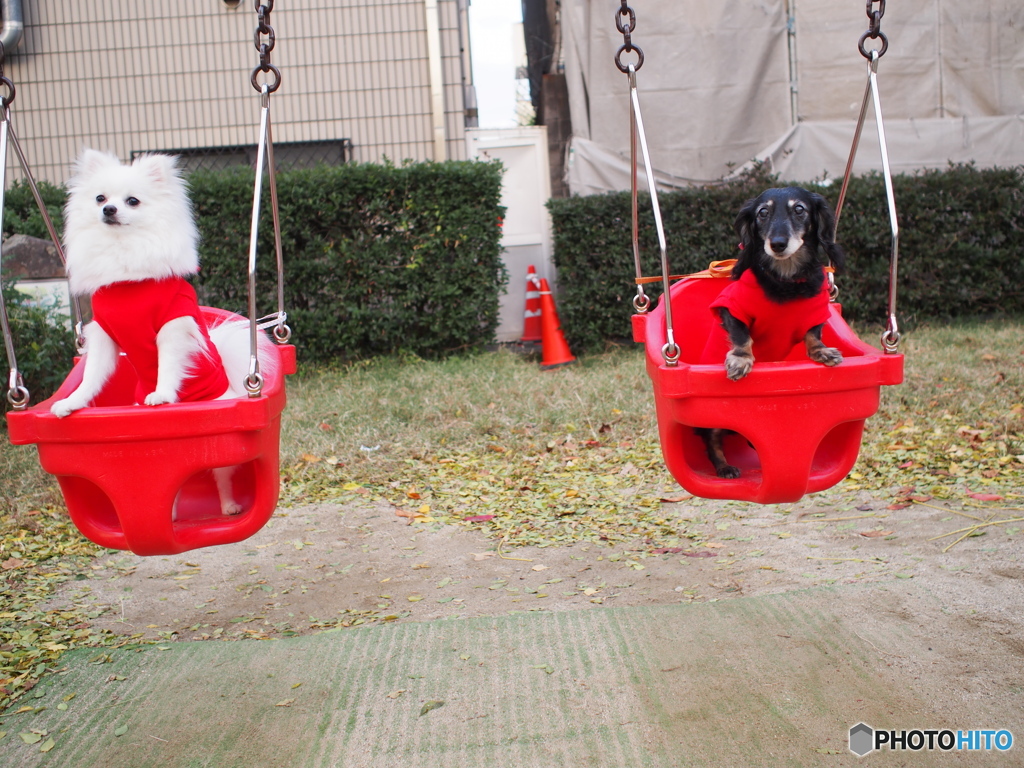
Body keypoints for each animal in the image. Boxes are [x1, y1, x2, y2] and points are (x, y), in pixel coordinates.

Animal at [50, 147, 276, 514]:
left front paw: (163, 394)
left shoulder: (172, 327)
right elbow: (91, 376)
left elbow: (168, 365)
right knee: (175, 482)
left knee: (219, 474)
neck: (124, 262)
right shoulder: (105, 336)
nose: (108, 209)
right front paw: (72, 403)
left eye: (132, 201)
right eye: (100, 198)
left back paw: (228, 505)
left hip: (219, 447)